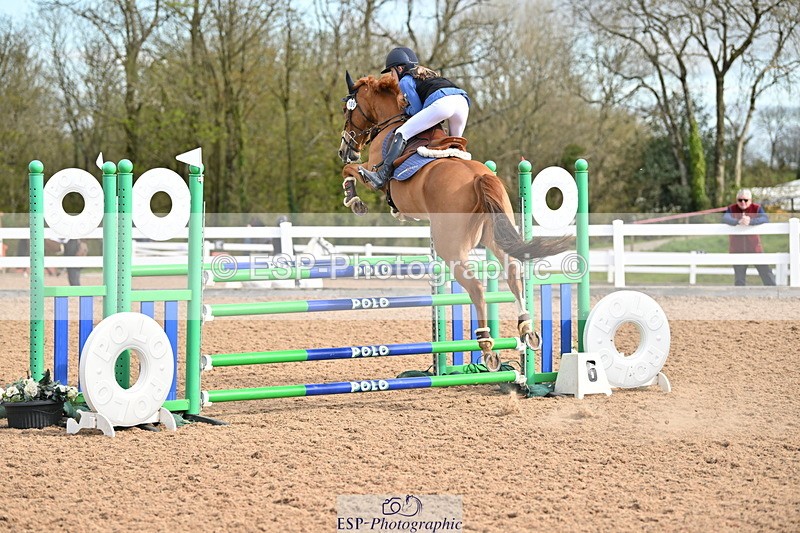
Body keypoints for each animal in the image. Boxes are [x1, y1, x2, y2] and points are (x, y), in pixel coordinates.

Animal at [337, 72, 572, 371]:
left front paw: (353, 199)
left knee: (477, 287)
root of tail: (478, 178)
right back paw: (527, 329)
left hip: (451, 249)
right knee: (513, 273)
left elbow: (351, 172)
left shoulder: (371, 171)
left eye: (348, 110)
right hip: (494, 237)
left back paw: (488, 347)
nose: (345, 150)